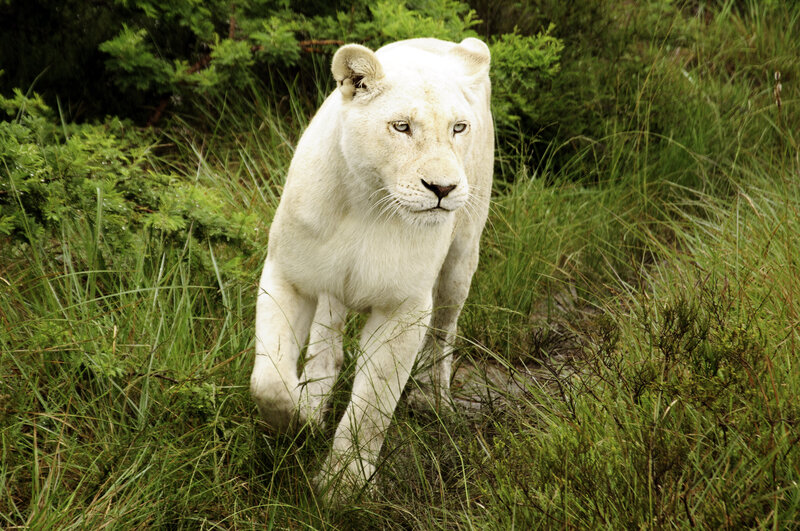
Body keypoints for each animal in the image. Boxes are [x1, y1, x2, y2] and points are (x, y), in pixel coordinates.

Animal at [250, 37, 493, 495]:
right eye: (401, 127)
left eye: (458, 128)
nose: (443, 188)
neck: (368, 203)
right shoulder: (289, 276)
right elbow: (268, 381)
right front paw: (295, 423)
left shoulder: (404, 308)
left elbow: (372, 407)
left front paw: (342, 485)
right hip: (331, 287)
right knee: (327, 346)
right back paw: (311, 399)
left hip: (461, 259)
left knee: (444, 331)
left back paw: (432, 399)